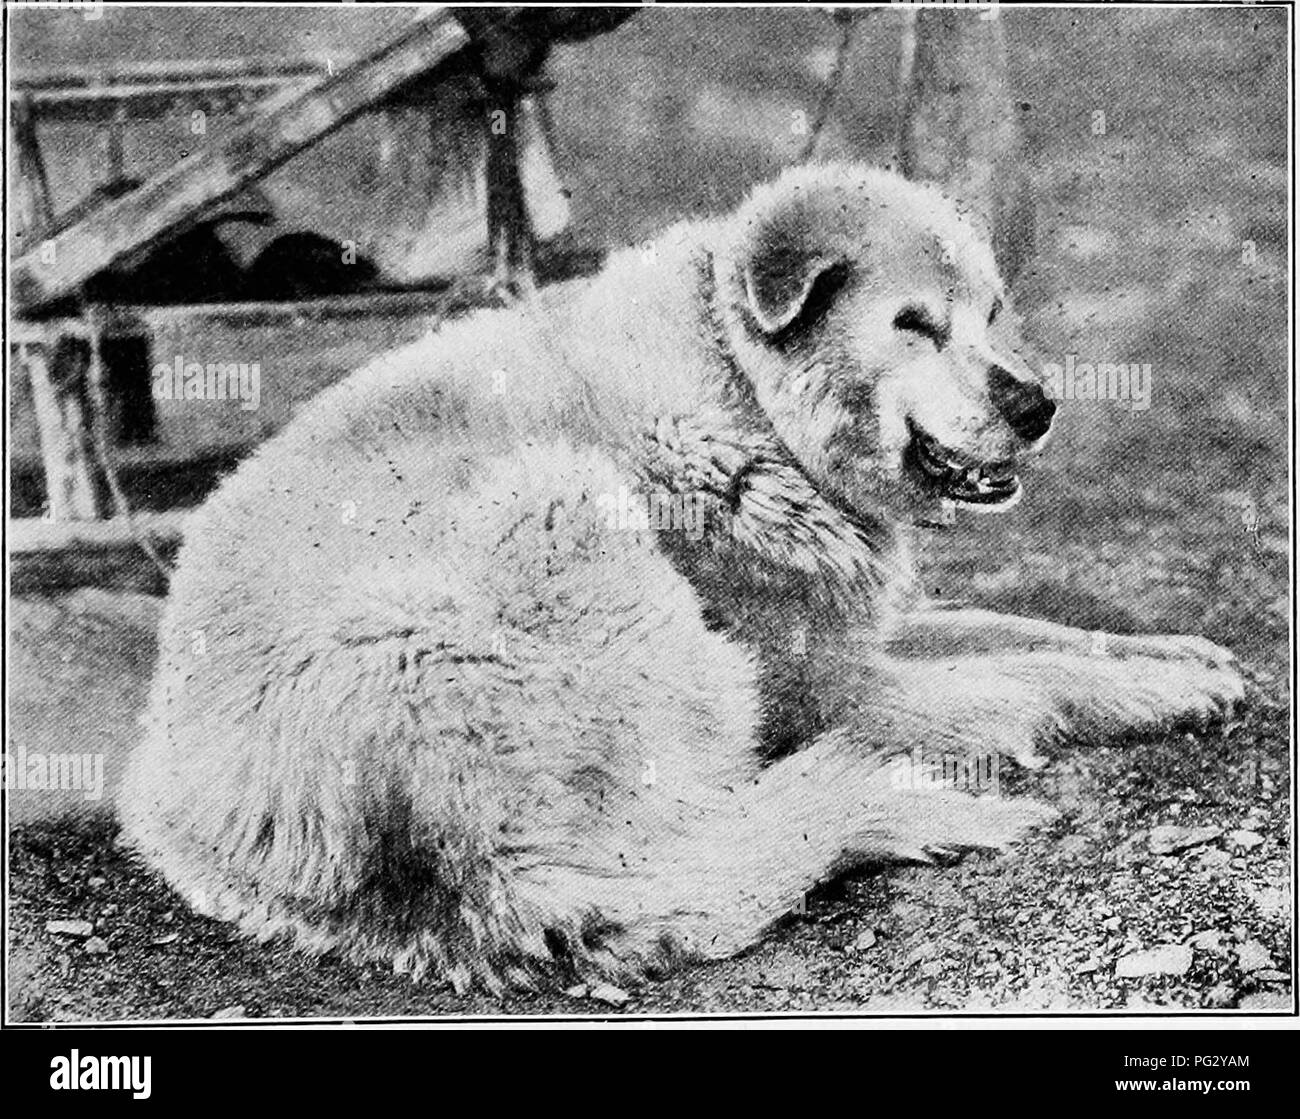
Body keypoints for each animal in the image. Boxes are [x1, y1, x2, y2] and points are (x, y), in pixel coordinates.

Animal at [116, 161, 1242, 992]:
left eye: (994, 311)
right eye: (914, 324)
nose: (1040, 406)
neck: (741, 396)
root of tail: (477, 872)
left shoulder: (852, 628)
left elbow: (1038, 630)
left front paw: (1178, 659)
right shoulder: (818, 680)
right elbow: (1029, 673)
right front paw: (1104, 695)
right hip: (558, 506)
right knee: (705, 842)